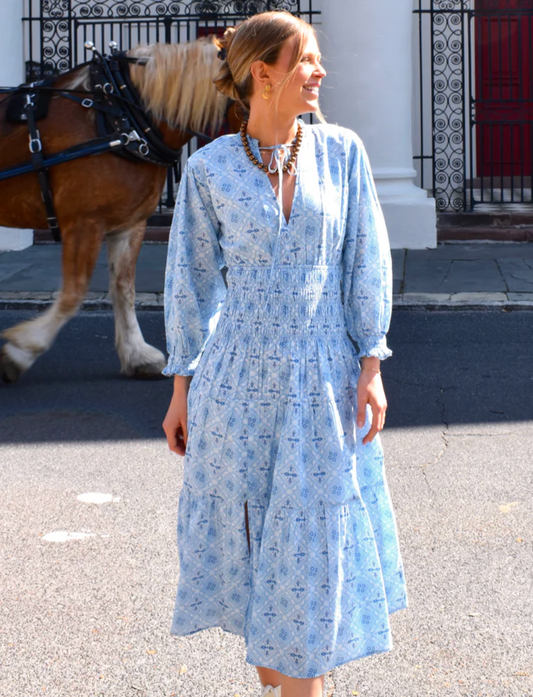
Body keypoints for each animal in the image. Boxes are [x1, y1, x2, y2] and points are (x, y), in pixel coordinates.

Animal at [0, 38, 239, 384]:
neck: (122, 118)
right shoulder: (84, 222)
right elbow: (73, 293)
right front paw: (21, 351)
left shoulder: (130, 224)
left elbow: (124, 288)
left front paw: (137, 354)